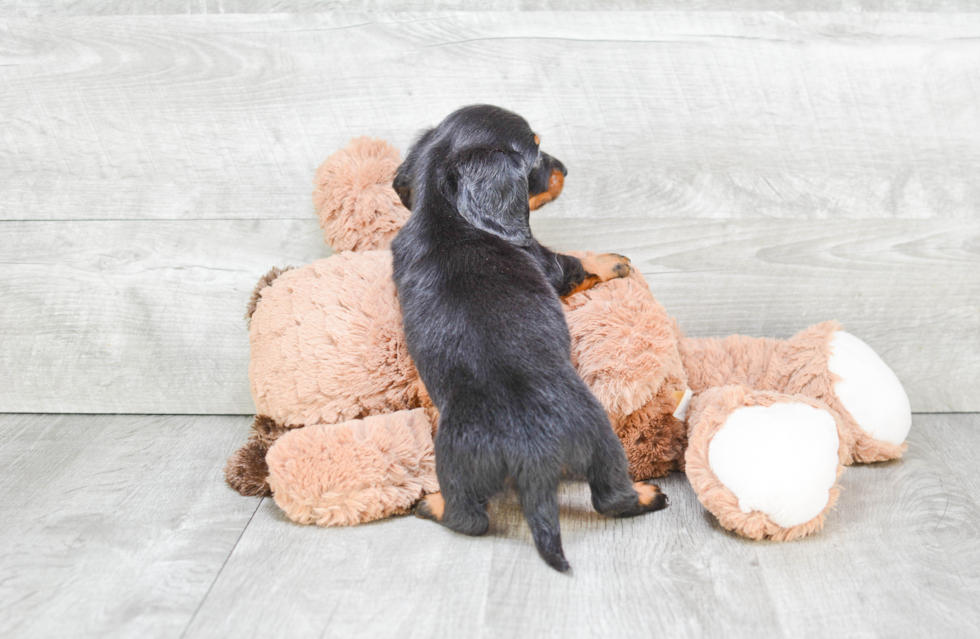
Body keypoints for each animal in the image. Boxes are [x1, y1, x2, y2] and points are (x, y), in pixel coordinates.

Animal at [390, 106, 668, 576]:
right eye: (535, 151)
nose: (565, 169)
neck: (443, 214)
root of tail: (530, 455)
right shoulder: (548, 261)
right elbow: (579, 263)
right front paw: (614, 261)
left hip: (502, 455)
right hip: (593, 436)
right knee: (604, 499)